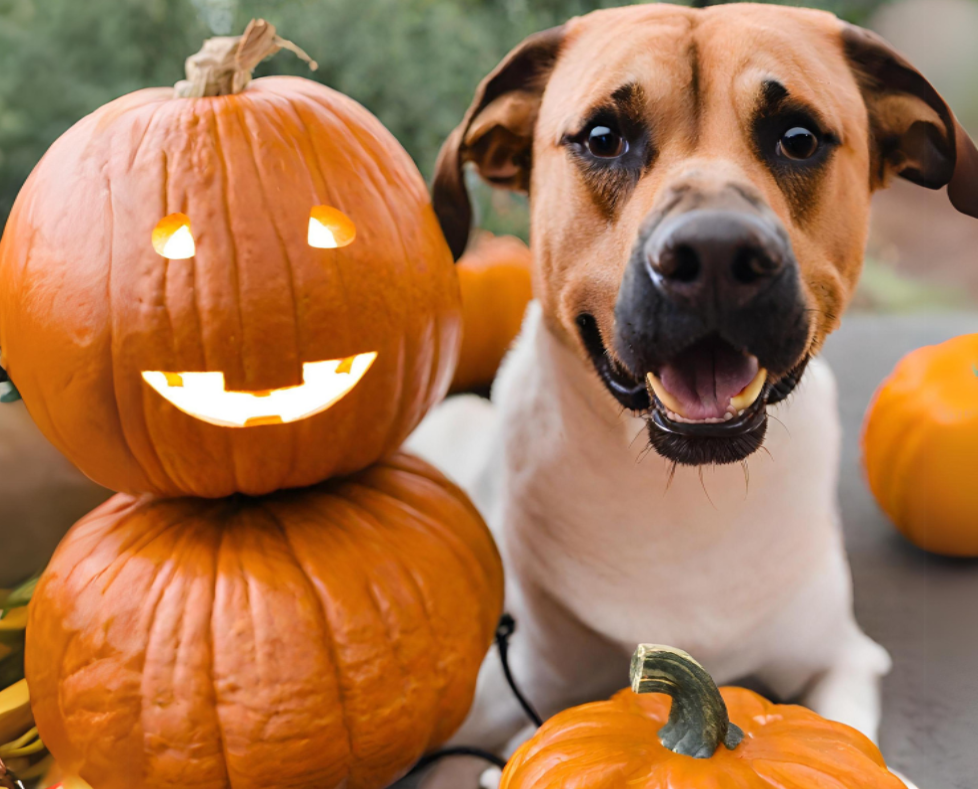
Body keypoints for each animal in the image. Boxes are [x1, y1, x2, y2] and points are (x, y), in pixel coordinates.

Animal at [406, 3, 976, 784]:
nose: (713, 254)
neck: (683, 500)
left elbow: (845, 731)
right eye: (603, 138)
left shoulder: (846, 657)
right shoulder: (489, 702)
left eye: (798, 139)